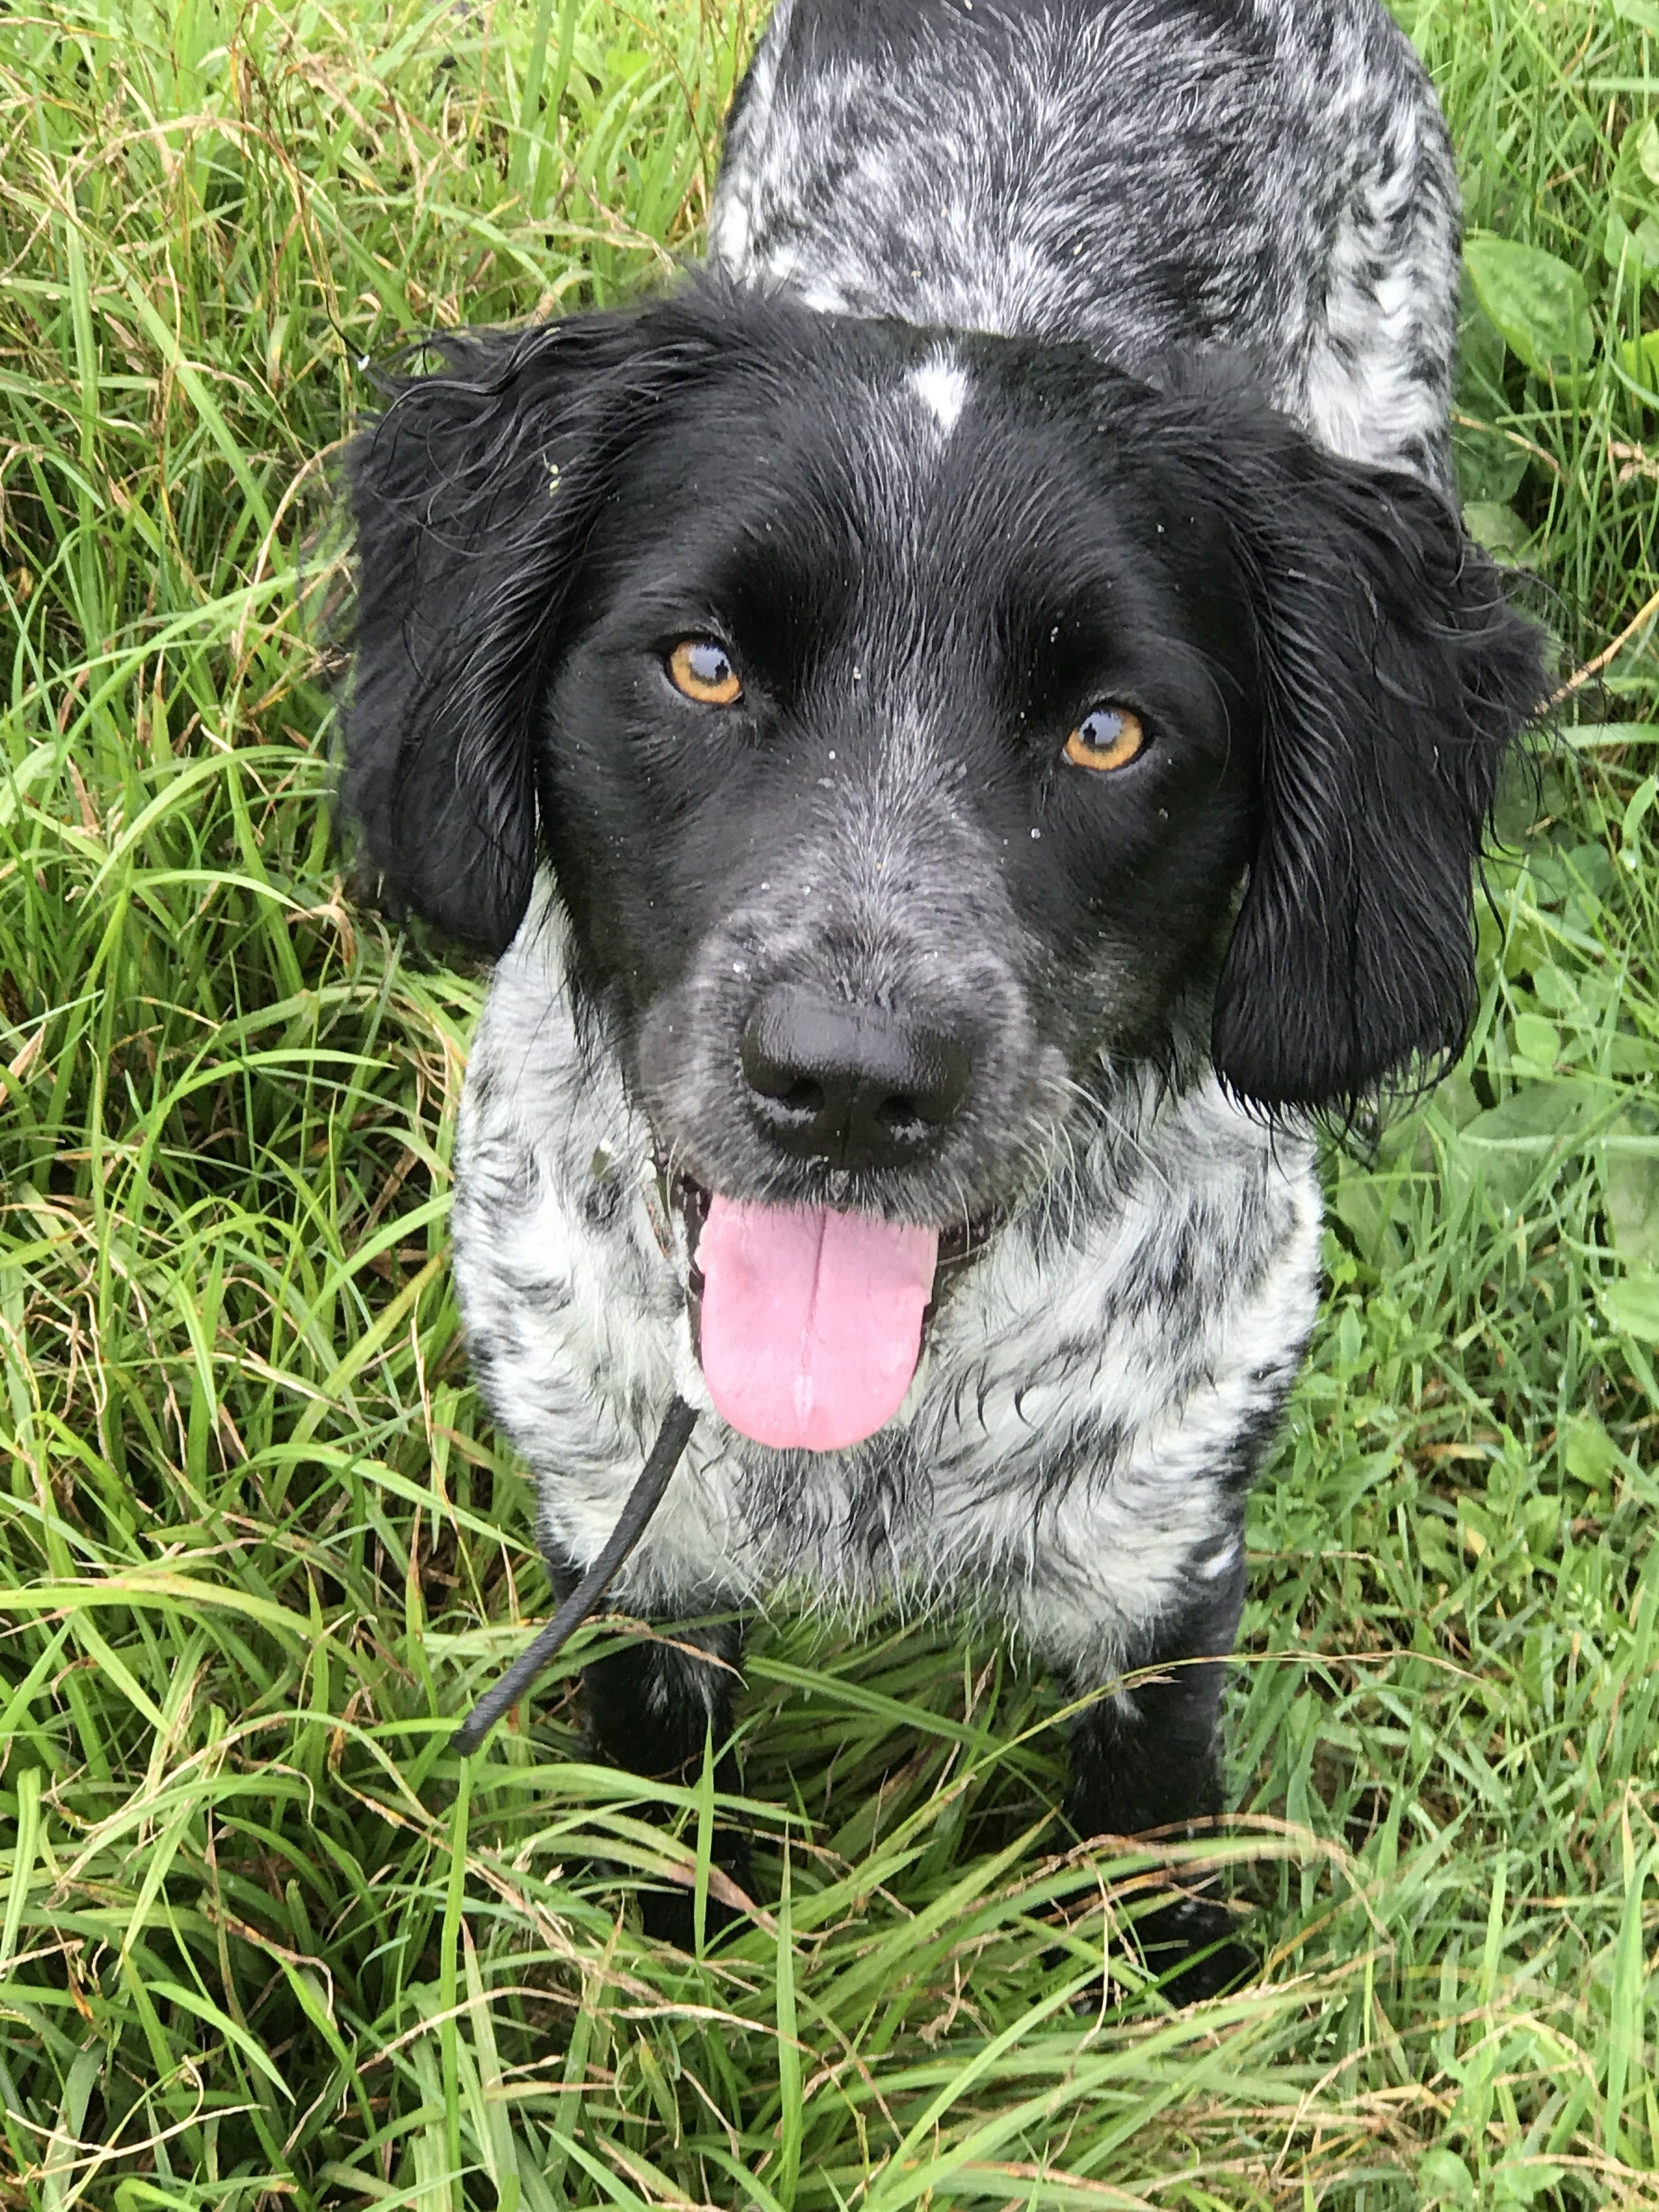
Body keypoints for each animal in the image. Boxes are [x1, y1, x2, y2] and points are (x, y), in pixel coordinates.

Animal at [342, 0, 1546, 1994]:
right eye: (701, 665)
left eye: (1110, 730)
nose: (850, 1079)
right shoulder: (629, 1549)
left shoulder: (1161, 1567)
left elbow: (1164, 1930)